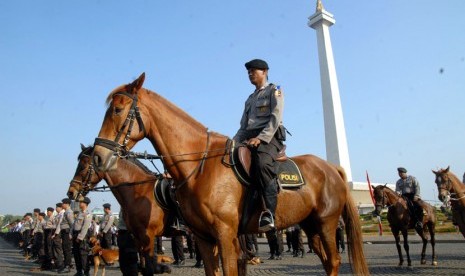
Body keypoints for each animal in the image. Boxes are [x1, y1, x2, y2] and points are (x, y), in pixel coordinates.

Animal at [68, 146, 171, 274]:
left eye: (82, 166)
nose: (70, 192)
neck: (140, 190)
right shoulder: (137, 236)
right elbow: (142, 265)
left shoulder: (149, 236)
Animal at [90, 72, 366, 274]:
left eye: (116, 110)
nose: (98, 156)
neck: (199, 166)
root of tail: (331, 167)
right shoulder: (203, 238)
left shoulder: (224, 235)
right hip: (310, 225)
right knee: (327, 261)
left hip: (327, 223)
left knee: (333, 260)